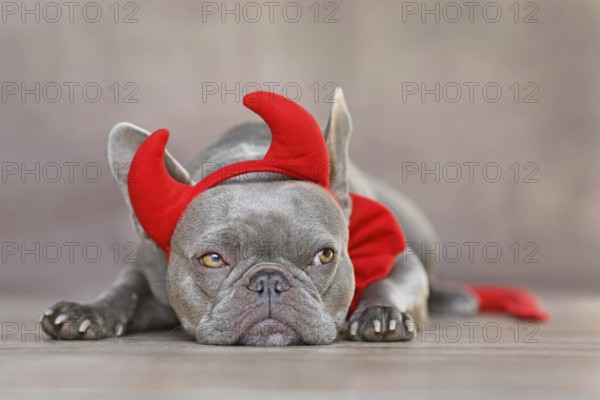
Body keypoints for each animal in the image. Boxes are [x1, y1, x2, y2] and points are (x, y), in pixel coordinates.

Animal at [39, 89, 476, 346]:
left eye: (325, 256)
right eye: (212, 259)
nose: (269, 281)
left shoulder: (401, 261)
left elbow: (392, 283)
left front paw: (381, 313)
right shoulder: (149, 271)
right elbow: (124, 289)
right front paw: (87, 311)